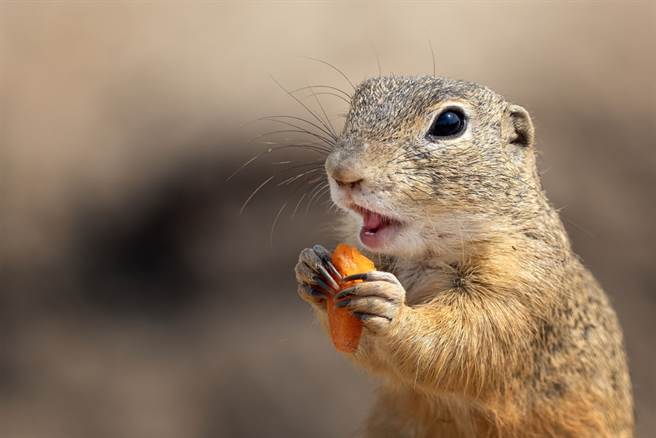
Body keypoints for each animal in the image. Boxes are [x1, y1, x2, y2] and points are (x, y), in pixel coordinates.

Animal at [294, 75, 632, 434]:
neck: (423, 255)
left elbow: (466, 342)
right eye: (358, 101)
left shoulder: (519, 286)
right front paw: (310, 266)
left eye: (449, 123)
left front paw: (390, 306)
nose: (340, 171)